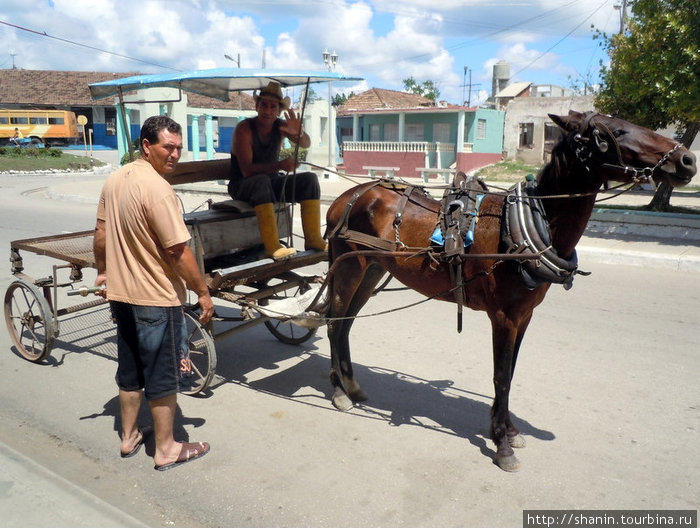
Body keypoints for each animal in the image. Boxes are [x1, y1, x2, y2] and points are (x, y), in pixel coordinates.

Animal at [322, 110, 696, 470]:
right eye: (612, 133)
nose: (687, 160)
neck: (524, 228)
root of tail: (346, 198)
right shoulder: (503, 316)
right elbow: (501, 376)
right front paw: (502, 444)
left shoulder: (524, 315)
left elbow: (512, 372)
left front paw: (508, 430)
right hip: (348, 267)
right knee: (333, 323)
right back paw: (339, 392)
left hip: (371, 270)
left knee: (346, 323)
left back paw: (351, 385)